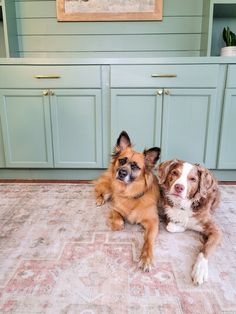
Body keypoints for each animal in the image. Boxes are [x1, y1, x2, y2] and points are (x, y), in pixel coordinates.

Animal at [95, 131, 161, 272]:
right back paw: (99, 199)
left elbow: (148, 241)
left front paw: (146, 258)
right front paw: (119, 223)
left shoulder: (153, 222)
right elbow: (119, 223)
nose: (121, 173)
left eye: (135, 166)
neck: (131, 194)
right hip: (107, 188)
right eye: (122, 160)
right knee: (99, 190)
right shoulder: (114, 209)